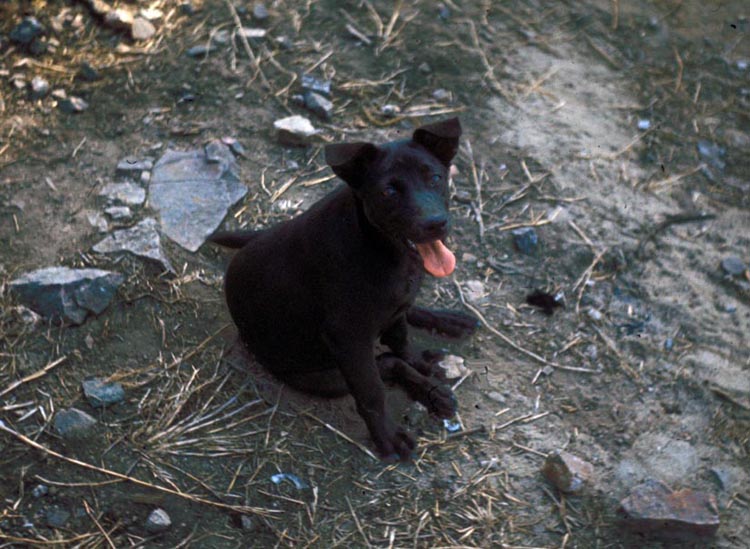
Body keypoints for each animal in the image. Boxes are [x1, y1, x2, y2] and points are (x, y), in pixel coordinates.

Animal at [210, 117, 476, 460]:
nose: (436, 223)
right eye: (389, 191)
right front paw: (387, 438)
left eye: (435, 178)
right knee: (384, 365)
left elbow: (402, 341)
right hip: (326, 376)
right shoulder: (349, 339)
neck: (380, 249)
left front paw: (420, 362)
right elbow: (372, 390)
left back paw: (447, 327)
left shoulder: (393, 310)